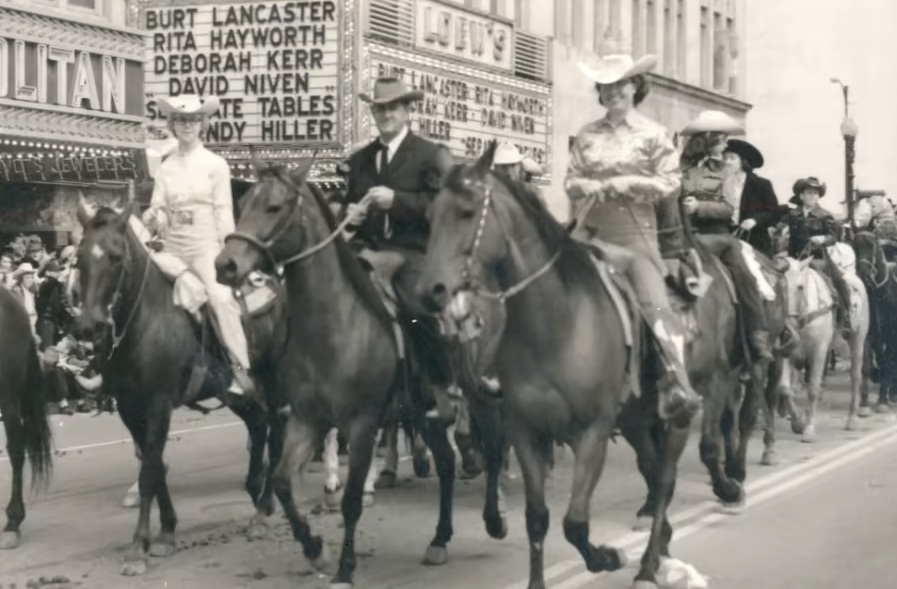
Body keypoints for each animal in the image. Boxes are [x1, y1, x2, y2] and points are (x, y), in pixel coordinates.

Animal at [74, 201, 286, 576]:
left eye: (115, 256)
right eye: (79, 257)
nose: (89, 326)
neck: (143, 321)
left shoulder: (158, 403)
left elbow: (149, 471)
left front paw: (138, 548)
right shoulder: (129, 407)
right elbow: (154, 465)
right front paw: (167, 532)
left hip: (271, 384)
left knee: (275, 433)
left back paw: (263, 508)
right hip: (233, 393)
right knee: (258, 424)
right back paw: (253, 486)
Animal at [210, 162, 504, 588]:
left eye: (274, 206)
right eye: (244, 201)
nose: (225, 265)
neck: (334, 324)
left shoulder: (362, 425)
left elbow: (350, 501)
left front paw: (345, 568)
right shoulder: (307, 418)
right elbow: (281, 481)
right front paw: (314, 550)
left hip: (478, 393)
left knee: (494, 447)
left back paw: (495, 518)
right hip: (423, 410)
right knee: (447, 462)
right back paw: (439, 539)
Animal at [416, 144, 760, 588]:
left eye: (467, 212)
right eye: (430, 216)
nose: (430, 291)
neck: (557, 321)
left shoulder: (592, 432)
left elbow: (575, 523)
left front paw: (609, 557)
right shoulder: (526, 431)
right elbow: (537, 518)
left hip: (695, 400)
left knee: (672, 475)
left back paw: (651, 561)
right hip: (637, 419)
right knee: (653, 472)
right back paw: (662, 544)